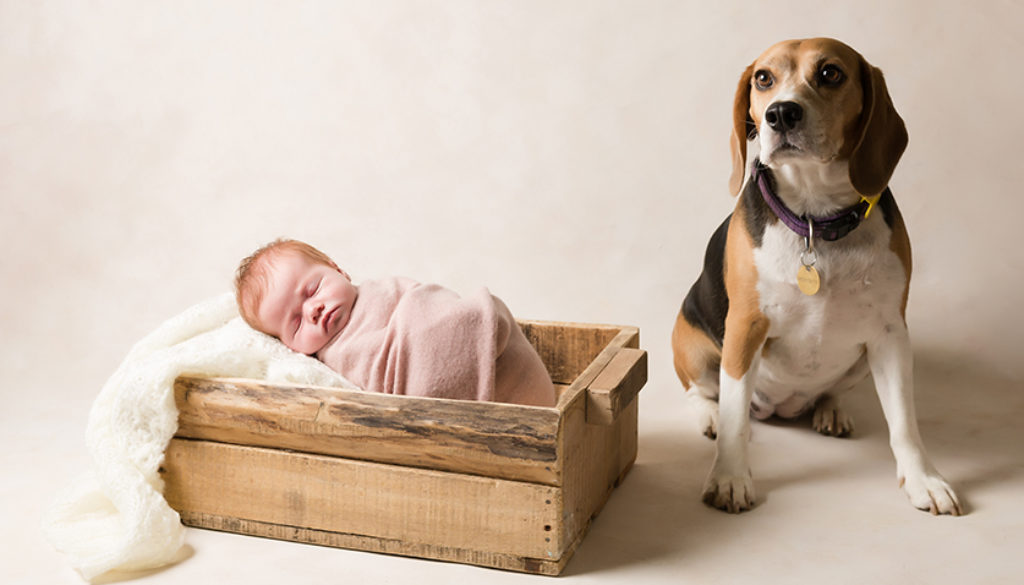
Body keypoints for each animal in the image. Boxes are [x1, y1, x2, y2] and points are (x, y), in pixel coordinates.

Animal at [671, 36, 958, 514]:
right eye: (763, 78)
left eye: (830, 73)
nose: (781, 113)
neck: (814, 218)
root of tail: (781, 407)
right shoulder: (745, 327)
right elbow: (733, 418)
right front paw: (730, 477)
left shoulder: (891, 334)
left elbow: (904, 422)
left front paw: (924, 479)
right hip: (691, 341)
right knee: (704, 393)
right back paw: (710, 415)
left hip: (863, 359)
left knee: (831, 391)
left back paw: (831, 408)